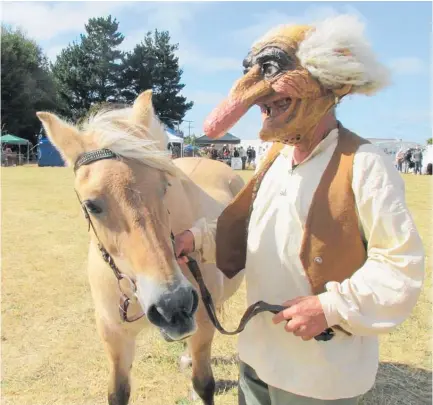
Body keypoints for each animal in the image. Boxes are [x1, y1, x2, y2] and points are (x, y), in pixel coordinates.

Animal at [35, 89, 245, 404]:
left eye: (164, 187)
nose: (173, 305)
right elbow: (118, 393)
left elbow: (204, 384)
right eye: (91, 205)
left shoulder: (203, 325)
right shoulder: (114, 337)